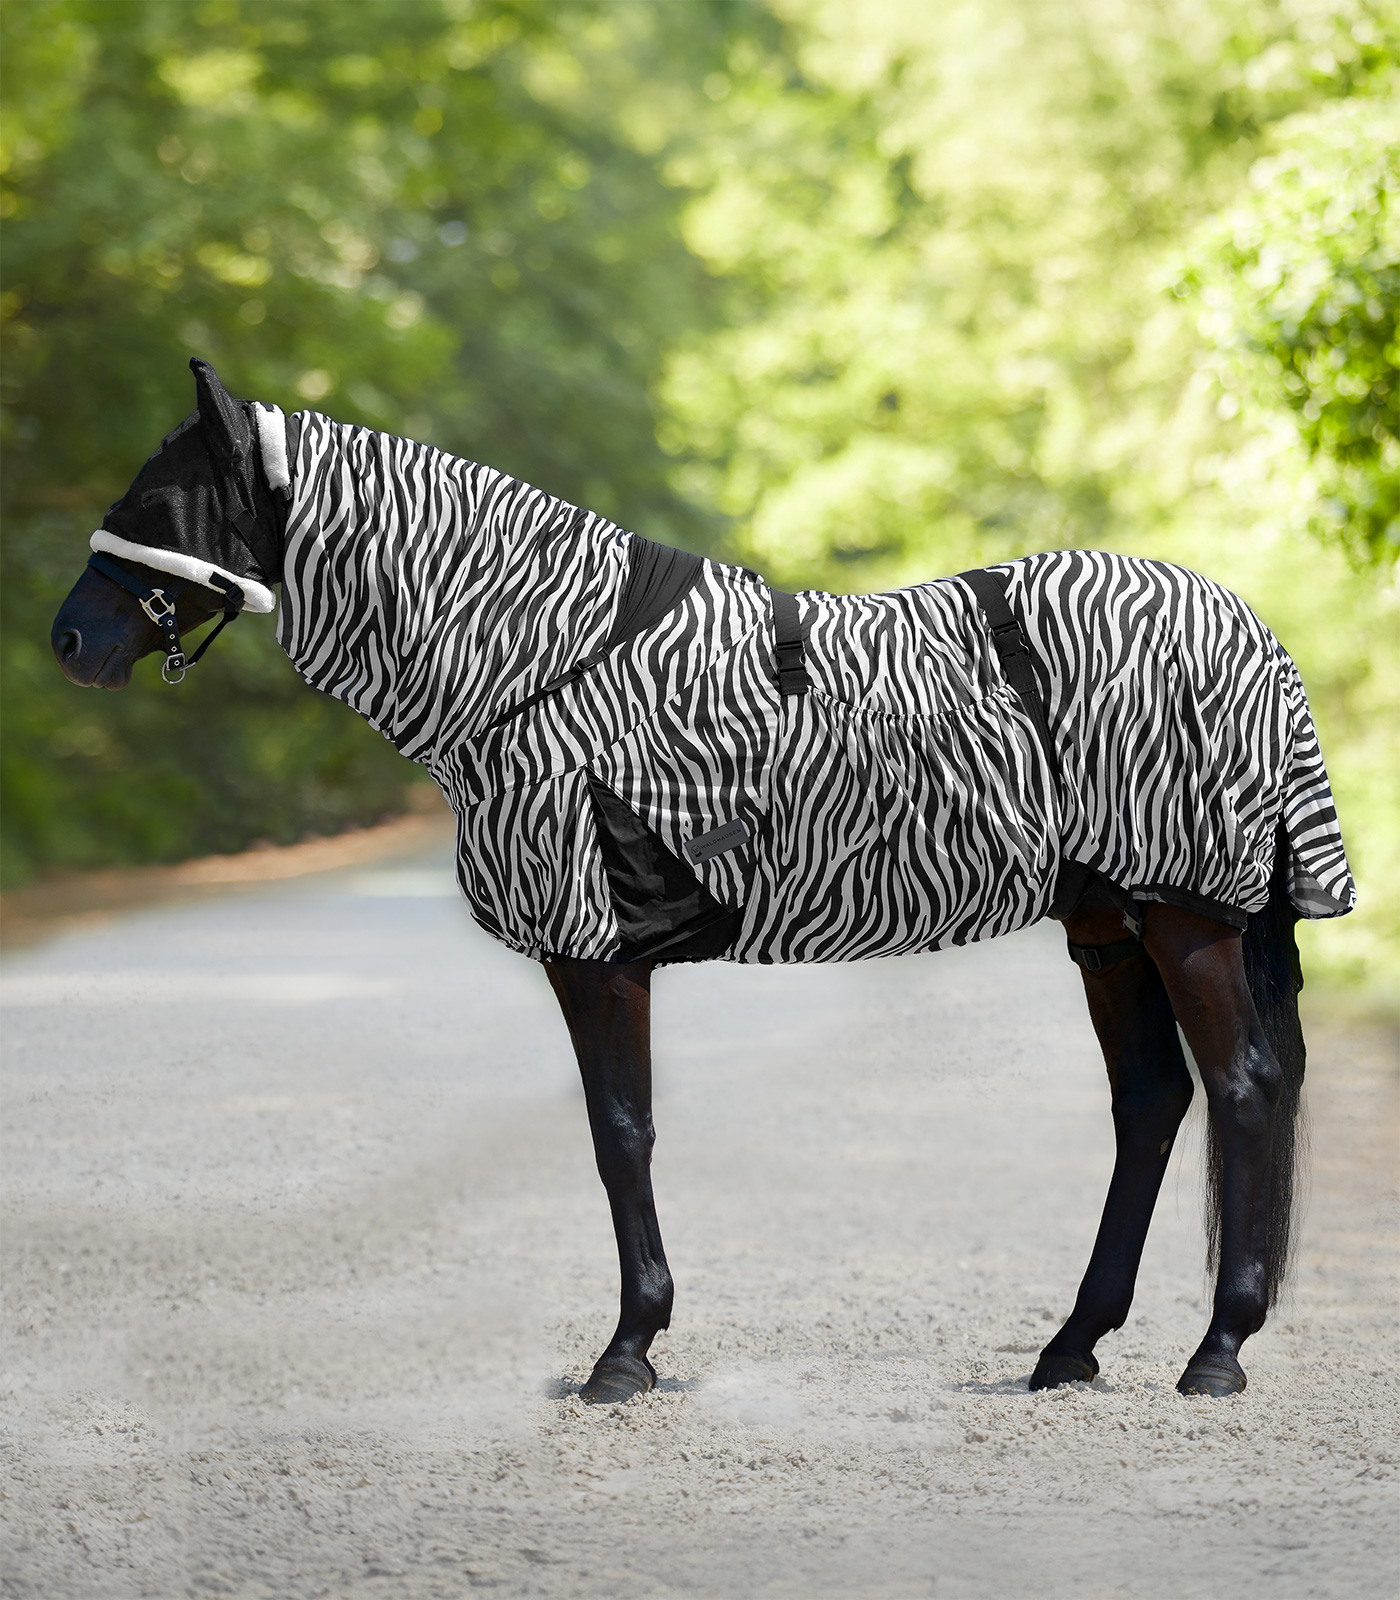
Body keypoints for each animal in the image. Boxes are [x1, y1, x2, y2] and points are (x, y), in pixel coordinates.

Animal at [52, 359, 1355, 1405]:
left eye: (158, 502)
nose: (68, 641)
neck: (540, 661)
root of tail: (1247, 626)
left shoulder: (591, 948)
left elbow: (618, 1132)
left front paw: (624, 1353)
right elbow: (619, 1132)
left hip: (1183, 915)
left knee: (1241, 1089)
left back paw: (1215, 1351)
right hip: (1107, 923)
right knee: (1151, 1103)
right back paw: (1069, 1346)